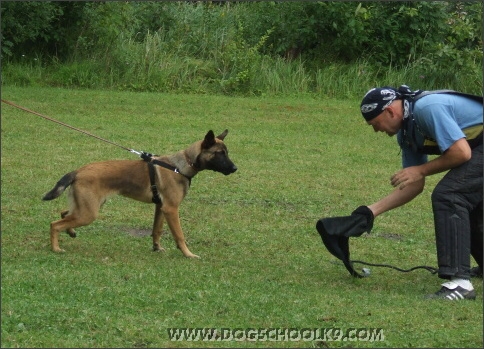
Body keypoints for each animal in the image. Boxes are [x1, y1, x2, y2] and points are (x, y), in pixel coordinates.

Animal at [43, 129, 236, 256]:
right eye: (219, 153)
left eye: (227, 152)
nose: (235, 168)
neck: (181, 165)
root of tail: (78, 171)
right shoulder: (171, 209)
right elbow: (179, 235)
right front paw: (188, 254)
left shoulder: (161, 208)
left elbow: (157, 230)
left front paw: (157, 248)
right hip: (88, 213)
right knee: (55, 224)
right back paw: (56, 248)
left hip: (86, 207)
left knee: (64, 213)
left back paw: (70, 232)